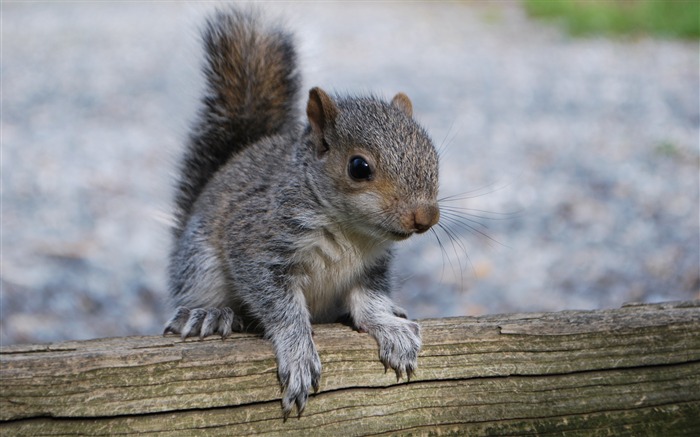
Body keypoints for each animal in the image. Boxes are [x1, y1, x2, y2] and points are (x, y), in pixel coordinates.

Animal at [163, 5, 438, 418]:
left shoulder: (371, 268)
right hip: (200, 264)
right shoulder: (259, 243)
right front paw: (298, 353)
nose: (426, 217)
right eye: (359, 167)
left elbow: (369, 300)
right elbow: (281, 306)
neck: (352, 232)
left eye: (433, 155)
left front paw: (390, 328)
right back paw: (208, 314)